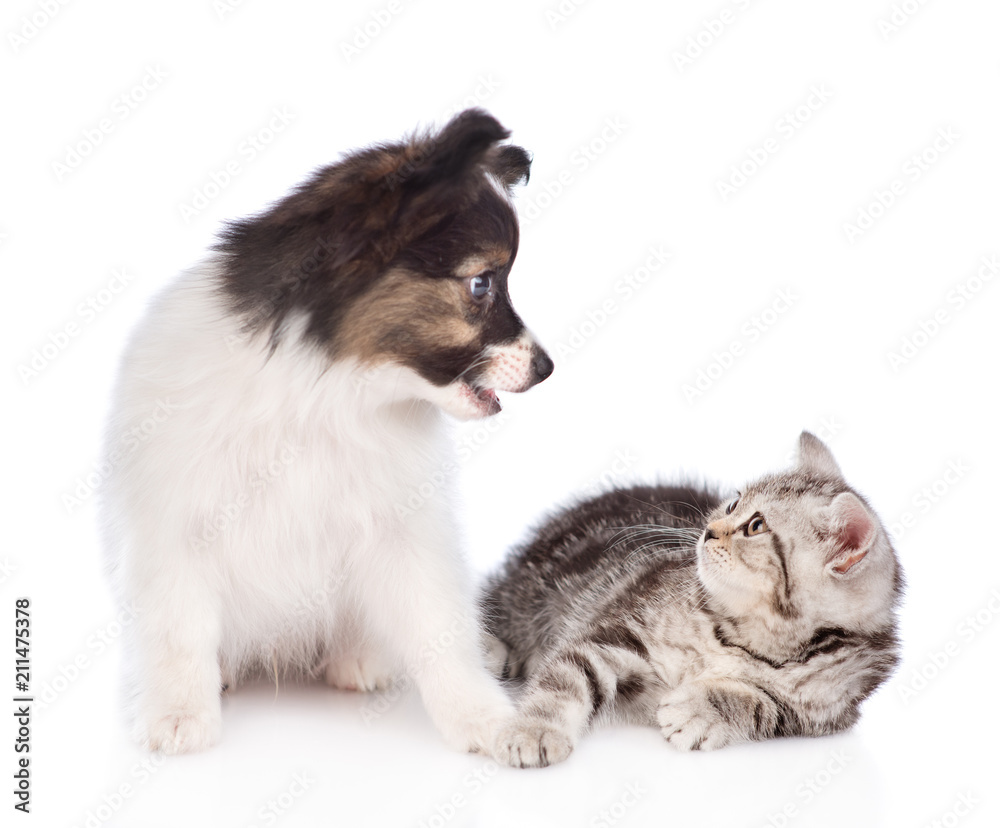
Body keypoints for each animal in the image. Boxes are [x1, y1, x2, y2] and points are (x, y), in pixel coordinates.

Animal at [99, 111, 556, 756]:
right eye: (482, 284)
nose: (547, 368)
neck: (326, 391)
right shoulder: (178, 527)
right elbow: (179, 630)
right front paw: (179, 713)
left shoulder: (403, 530)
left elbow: (437, 629)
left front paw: (483, 717)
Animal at [484, 436, 908, 768]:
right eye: (733, 503)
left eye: (756, 526)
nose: (708, 531)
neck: (753, 636)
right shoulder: (619, 627)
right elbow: (568, 677)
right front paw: (534, 729)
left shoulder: (827, 709)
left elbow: (764, 705)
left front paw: (699, 711)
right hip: (533, 589)